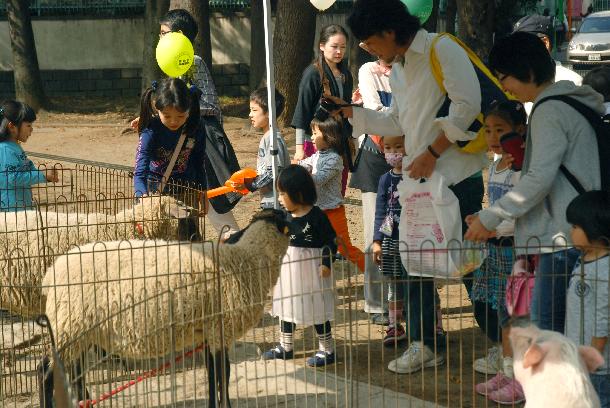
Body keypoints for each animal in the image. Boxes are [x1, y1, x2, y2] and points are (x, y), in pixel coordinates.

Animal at [38, 210, 294, 408]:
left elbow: (214, 375)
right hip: (70, 326)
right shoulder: (222, 329)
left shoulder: (210, 332)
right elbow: (224, 374)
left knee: (72, 371)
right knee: (45, 372)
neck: (248, 259)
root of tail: (51, 274)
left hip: (80, 329)